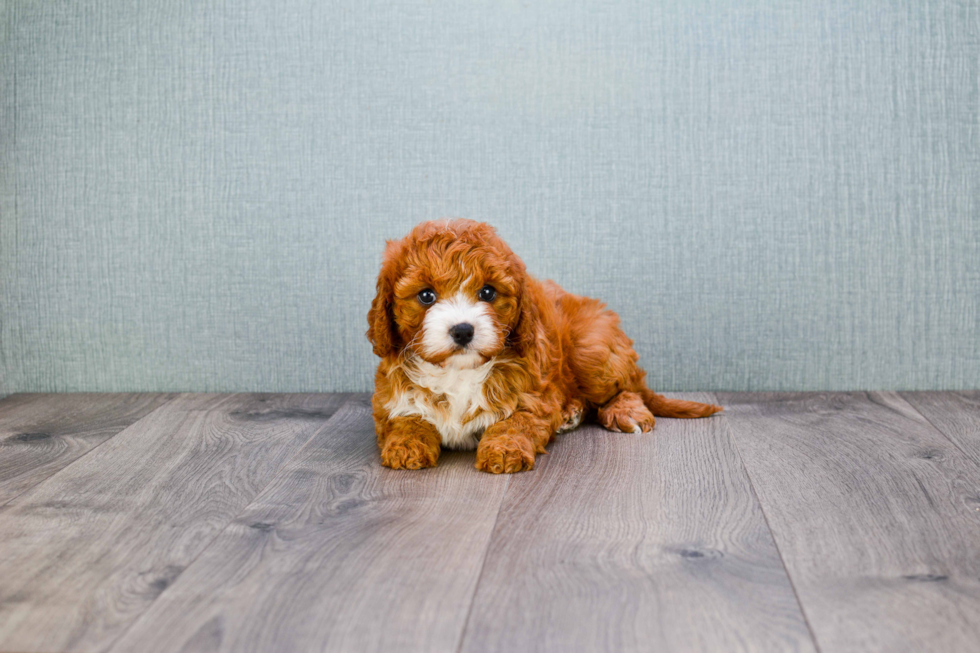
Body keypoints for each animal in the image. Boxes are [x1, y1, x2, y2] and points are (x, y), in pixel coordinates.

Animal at [368, 220, 720, 474]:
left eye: (487, 292)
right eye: (426, 295)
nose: (463, 330)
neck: (458, 372)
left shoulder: (532, 395)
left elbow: (516, 423)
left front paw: (504, 450)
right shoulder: (390, 399)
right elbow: (405, 419)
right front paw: (406, 446)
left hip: (591, 347)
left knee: (626, 387)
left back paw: (624, 411)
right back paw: (571, 412)